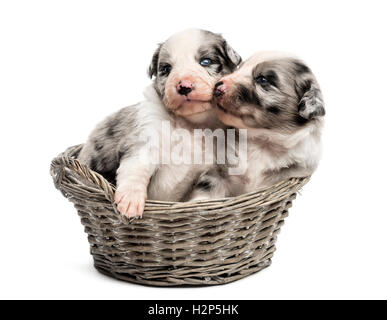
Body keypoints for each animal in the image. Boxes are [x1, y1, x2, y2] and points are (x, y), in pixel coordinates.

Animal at [78, 28, 242, 218]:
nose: (184, 86)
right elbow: (136, 167)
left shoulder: (214, 168)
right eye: (166, 68)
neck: (192, 125)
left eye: (206, 61)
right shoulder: (146, 136)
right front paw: (130, 200)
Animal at [189, 52, 326, 200]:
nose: (216, 86)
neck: (261, 142)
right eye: (239, 68)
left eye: (262, 79)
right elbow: (207, 188)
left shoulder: (284, 176)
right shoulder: (221, 170)